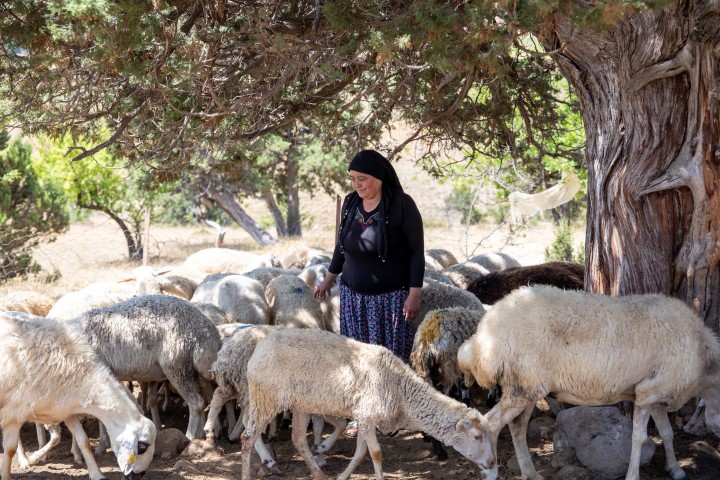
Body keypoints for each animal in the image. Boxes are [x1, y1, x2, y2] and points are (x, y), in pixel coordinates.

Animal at [0, 312, 157, 480]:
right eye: (142, 446)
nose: (137, 476)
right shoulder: (14, 412)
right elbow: (9, 449)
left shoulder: (67, 411)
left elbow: (84, 441)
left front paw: (97, 474)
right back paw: (24, 460)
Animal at [75, 294, 222, 440]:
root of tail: (212, 336)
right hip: (195, 369)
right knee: (207, 397)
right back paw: (205, 433)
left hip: (177, 364)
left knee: (197, 403)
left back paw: (190, 437)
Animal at [239, 328, 498, 480]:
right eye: (477, 437)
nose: (491, 462)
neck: (400, 388)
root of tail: (259, 347)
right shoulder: (367, 415)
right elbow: (376, 453)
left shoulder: (364, 417)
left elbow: (361, 453)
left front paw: (342, 477)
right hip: (266, 398)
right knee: (247, 438)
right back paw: (249, 474)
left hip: (300, 403)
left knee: (299, 439)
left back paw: (319, 473)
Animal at [458, 284, 720, 480]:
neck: (703, 356)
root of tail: (483, 337)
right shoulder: (648, 393)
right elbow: (640, 438)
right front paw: (633, 475)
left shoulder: (655, 394)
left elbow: (666, 433)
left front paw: (675, 469)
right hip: (523, 387)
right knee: (491, 424)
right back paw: (491, 472)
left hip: (526, 385)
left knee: (517, 427)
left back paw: (530, 473)